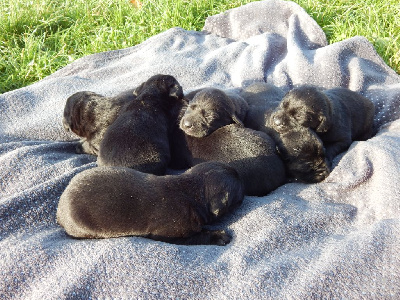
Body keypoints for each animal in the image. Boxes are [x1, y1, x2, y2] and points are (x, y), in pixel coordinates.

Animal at [55, 162, 244, 246]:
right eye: (239, 195)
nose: (242, 176)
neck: (191, 189)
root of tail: (59, 210)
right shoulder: (173, 232)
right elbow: (197, 236)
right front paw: (219, 236)